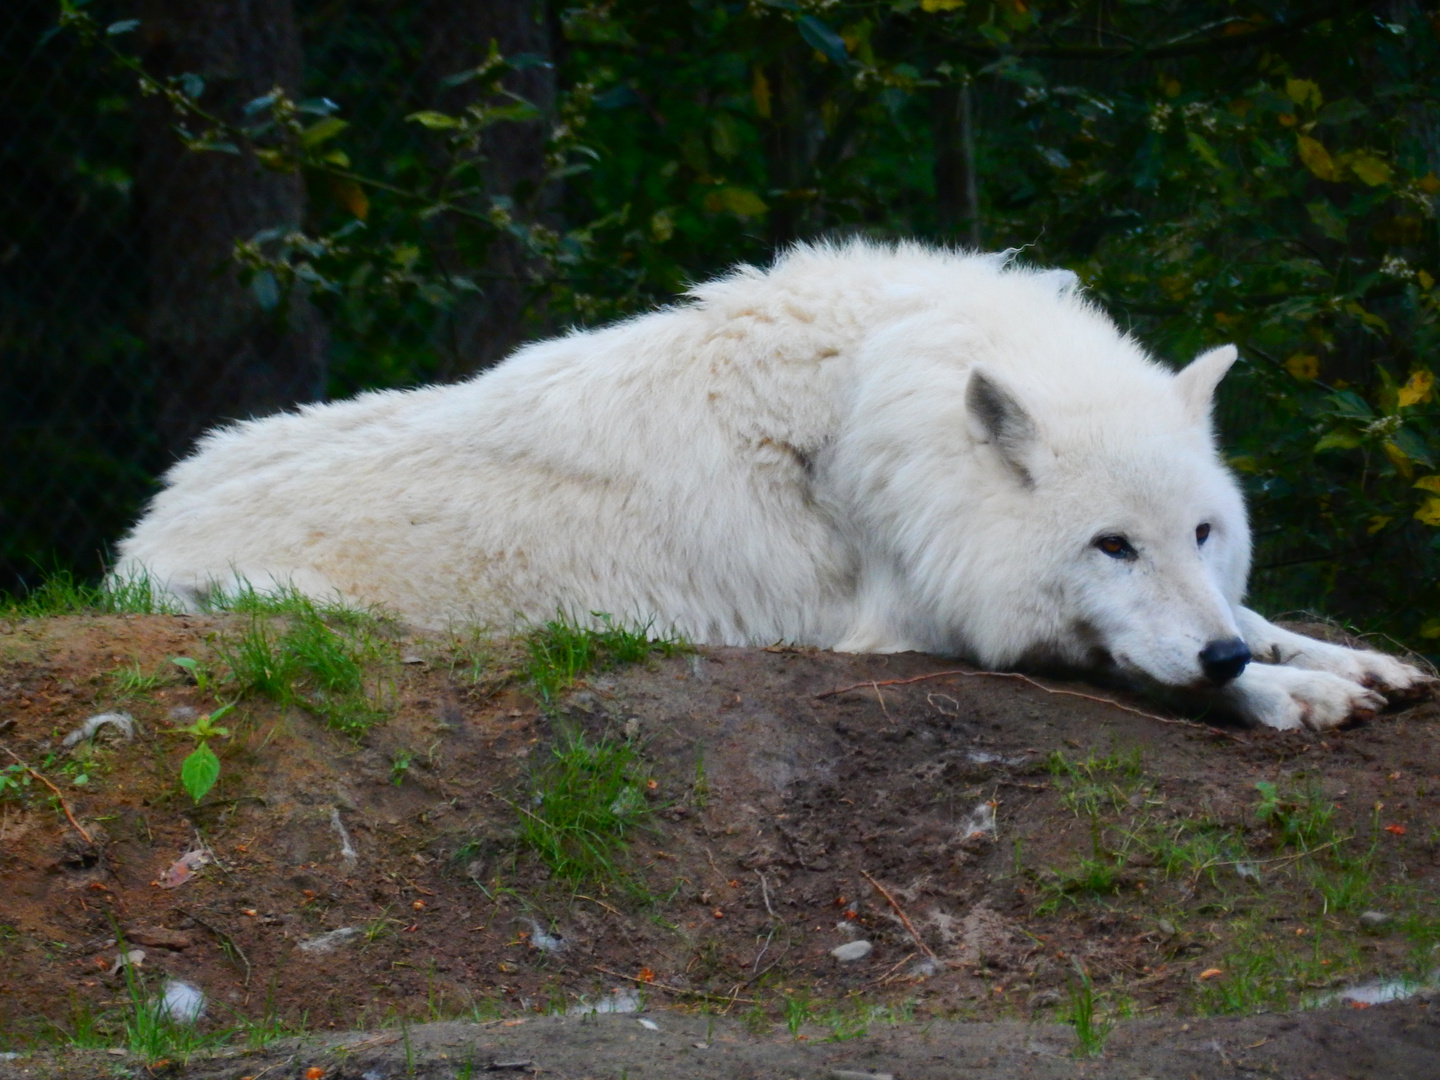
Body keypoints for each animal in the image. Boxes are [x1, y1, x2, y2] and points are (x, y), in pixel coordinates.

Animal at [120, 241, 1428, 731]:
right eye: (1113, 545)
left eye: (1202, 533)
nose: (1218, 657)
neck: (873, 421)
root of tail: (147, 521)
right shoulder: (934, 622)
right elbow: (1141, 668)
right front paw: (1290, 696)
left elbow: (1264, 617)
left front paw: (1346, 660)